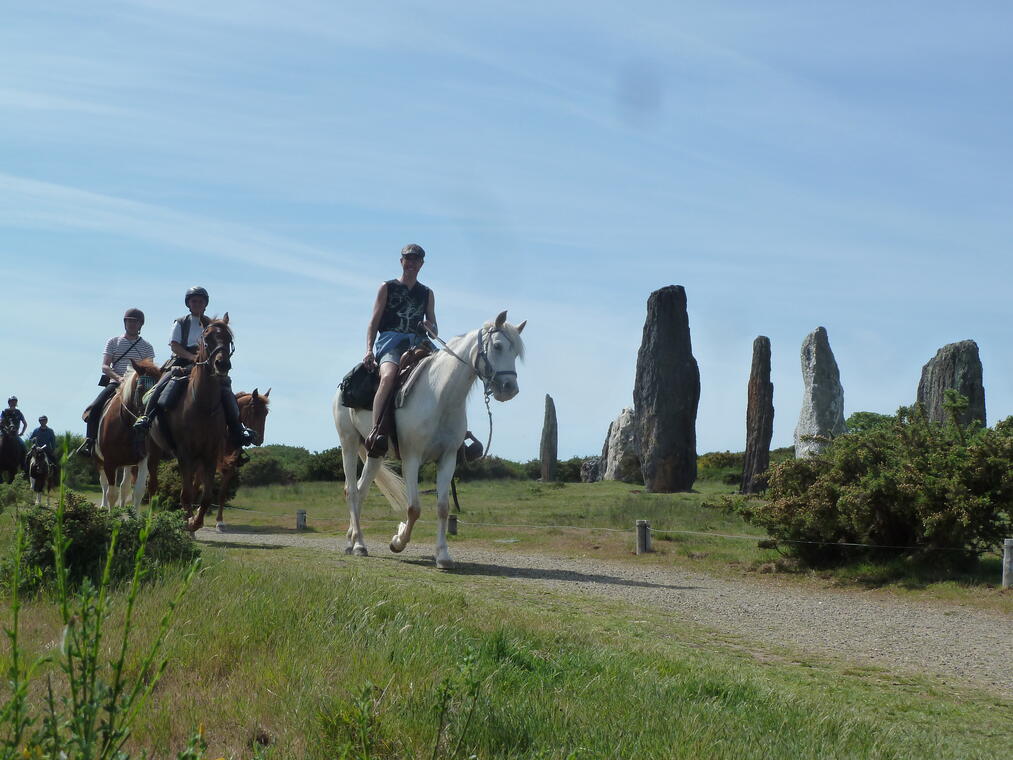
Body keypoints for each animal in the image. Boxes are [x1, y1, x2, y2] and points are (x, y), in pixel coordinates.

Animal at [95, 358, 162, 512]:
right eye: (141, 388)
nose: (147, 419)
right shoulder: (109, 462)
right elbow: (111, 493)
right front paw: (111, 515)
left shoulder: (143, 460)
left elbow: (138, 491)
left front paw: (135, 517)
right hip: (99, 461)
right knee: (104, 484)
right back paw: (103, 506)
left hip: (128, 463)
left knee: (124, 486)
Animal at [149, 312, 232, 530]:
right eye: (207, 338)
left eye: (229, 339)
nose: (222, 364)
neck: (202, 405)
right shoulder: (184, 453)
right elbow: (186, 494)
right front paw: (188, 523)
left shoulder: (210, 454)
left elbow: (205, 496)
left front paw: (194, 523)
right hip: (153, 449)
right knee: (152, 485)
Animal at [214, 389, 271, 530]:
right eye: (254, 410)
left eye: (266, 413)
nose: (259, 440)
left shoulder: (230, 468)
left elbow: (222, 493)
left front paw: (220, 522)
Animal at [332, 308, 526, 567]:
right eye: (497, 346)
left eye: (515, 352)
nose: (510, 388)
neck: (440, 396)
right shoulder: (411, 458)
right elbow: (413, 508)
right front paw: (397, 541)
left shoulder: (448, 459)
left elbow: (443, 507)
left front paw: (443, 555)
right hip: (349, 443)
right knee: (351, 491)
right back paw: (359, 545)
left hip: (375, 453)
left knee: (362, 491)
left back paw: (353, 540)